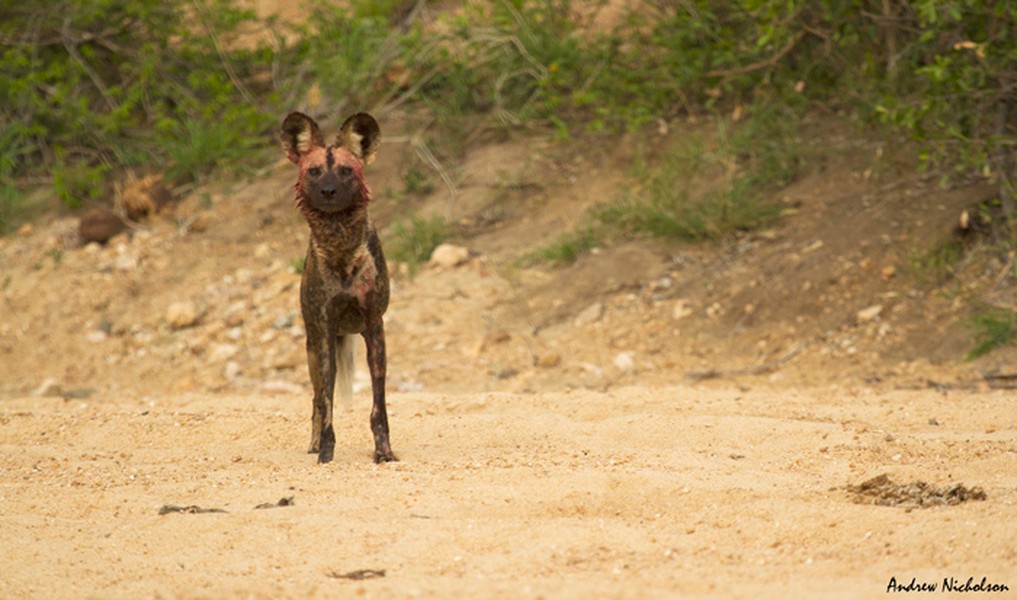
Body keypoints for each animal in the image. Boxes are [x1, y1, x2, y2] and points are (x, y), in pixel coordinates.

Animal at [280, 113, 394, 469]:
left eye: (346, 170)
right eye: (314, 171)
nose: (328, 191)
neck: (341, 250)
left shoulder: (374, 327)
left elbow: (378, 408)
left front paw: (384, 452)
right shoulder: (326, 330)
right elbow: (327, 404)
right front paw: (326, 454)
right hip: (313, 348)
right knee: (317, 399)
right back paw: (315, 443)